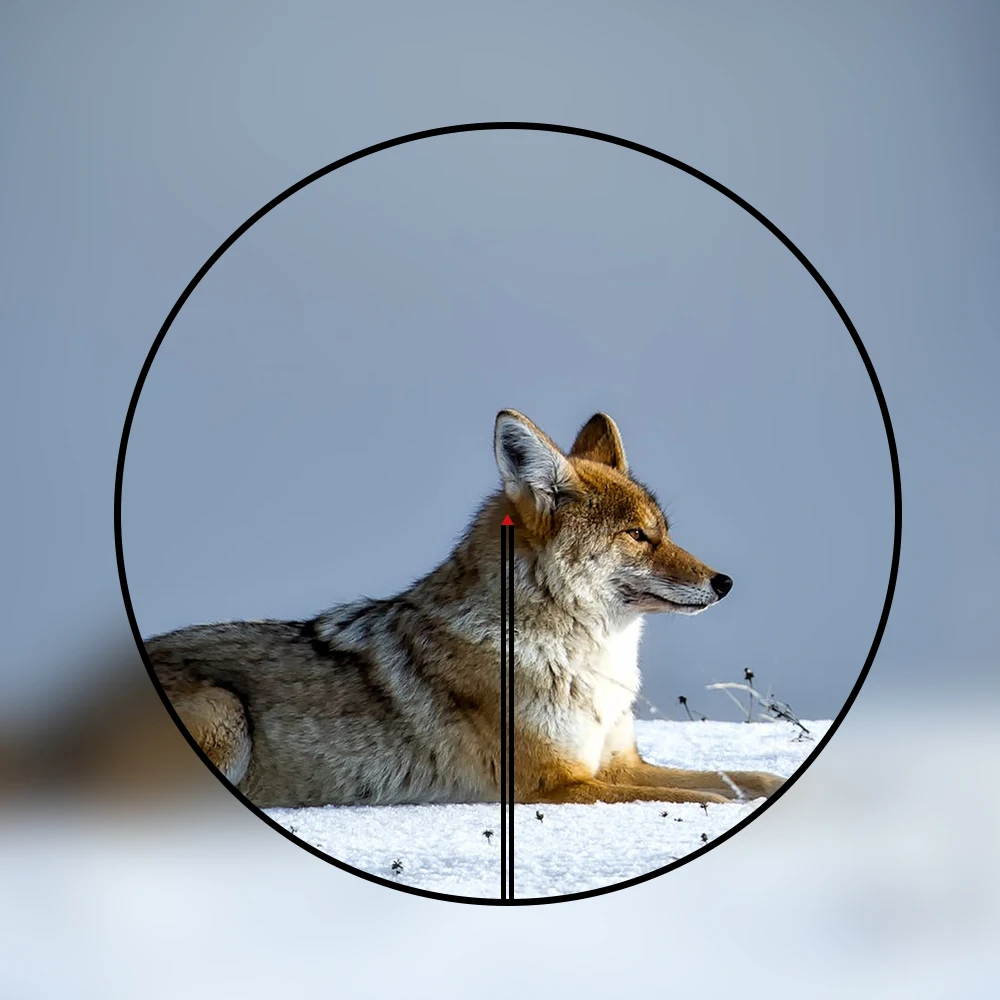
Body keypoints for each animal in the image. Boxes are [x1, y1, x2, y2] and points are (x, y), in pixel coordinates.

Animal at [146, 410, 785, 807]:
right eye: (637, 536)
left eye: (665, 531)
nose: (725, 582)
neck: (587, 662)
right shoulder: (552, 785)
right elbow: (696, 796)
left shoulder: (618, 763)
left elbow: (746, 776)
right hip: (226, 712)